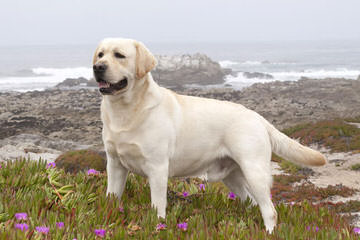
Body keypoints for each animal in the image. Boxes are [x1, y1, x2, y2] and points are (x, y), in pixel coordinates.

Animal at [92, 38, 326, 232]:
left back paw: (269, 232)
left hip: (255, 171)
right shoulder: (115, 164)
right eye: (101, 54)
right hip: (233, 177)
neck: (126, 111)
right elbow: (112, 196)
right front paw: (108, 215)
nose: (97, 67)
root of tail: (258, 117)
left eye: (119, 55)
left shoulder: (157, 168)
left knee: (270, 210)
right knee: (251, 202)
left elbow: (157, 206)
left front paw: (158, 225)